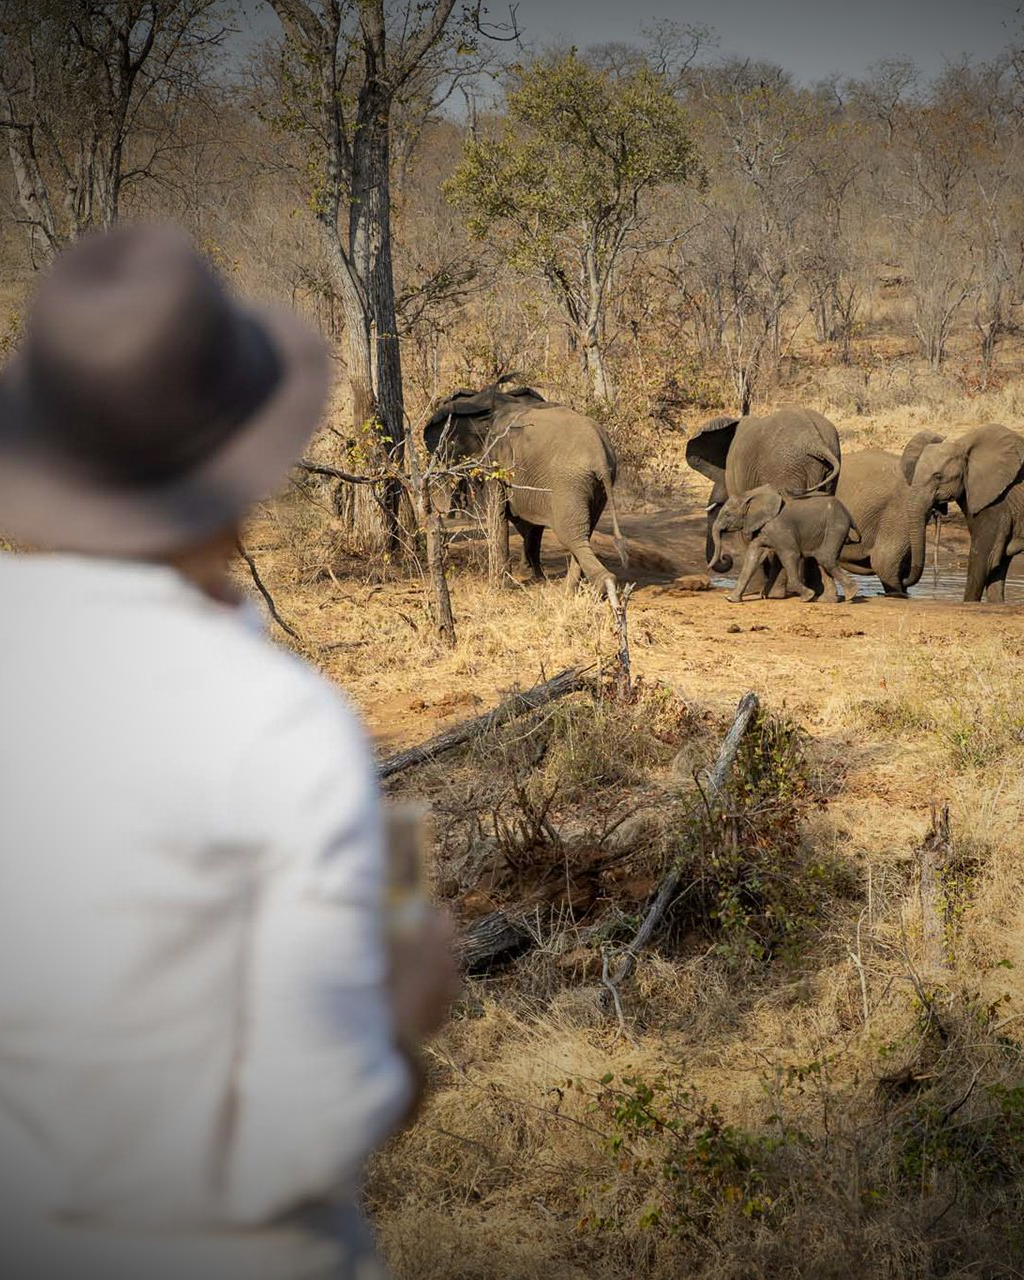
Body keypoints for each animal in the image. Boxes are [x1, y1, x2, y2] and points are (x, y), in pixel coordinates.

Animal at [423, 381, 628, 594]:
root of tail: (600, 457)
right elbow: (528, 522)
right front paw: (536, 576)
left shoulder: (498, 458)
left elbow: (499, 515)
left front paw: (501, 586)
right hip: (595, 486)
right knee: (583, 532)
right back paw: (569, 590)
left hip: (569, 482)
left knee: (571, 534)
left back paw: (600, 585)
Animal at [686, 406, 842, 592]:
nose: (726, 558)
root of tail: (815, 441)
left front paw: (754, 591)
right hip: (824, 465)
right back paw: (817, 592)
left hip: (783, 469)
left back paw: (778, 592)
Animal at [711, 486, 861, 604]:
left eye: (727, 514)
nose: (725, 557)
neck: (751, 494)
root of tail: (847, 511)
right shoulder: (763, 528)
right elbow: (753, 556)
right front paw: (731, 599)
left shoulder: (779, 527)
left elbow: (790, 554)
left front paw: (807, 597)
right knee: (821, 559)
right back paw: (827, 600)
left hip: (836, 526)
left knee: (825, 558)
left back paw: (851, 594)